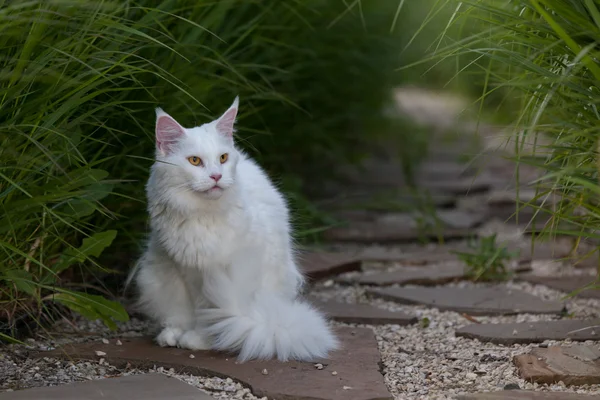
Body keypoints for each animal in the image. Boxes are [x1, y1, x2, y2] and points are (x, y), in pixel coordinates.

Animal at [128, 97, 338, 362]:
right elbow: (193, 310)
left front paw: (201, 339)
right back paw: (172, 333)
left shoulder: (218, 274)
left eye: (223, 158)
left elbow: (210, 312)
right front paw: (186, 334)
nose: (216, 176)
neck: (203, 215)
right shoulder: (186, 270)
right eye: (195, 161)